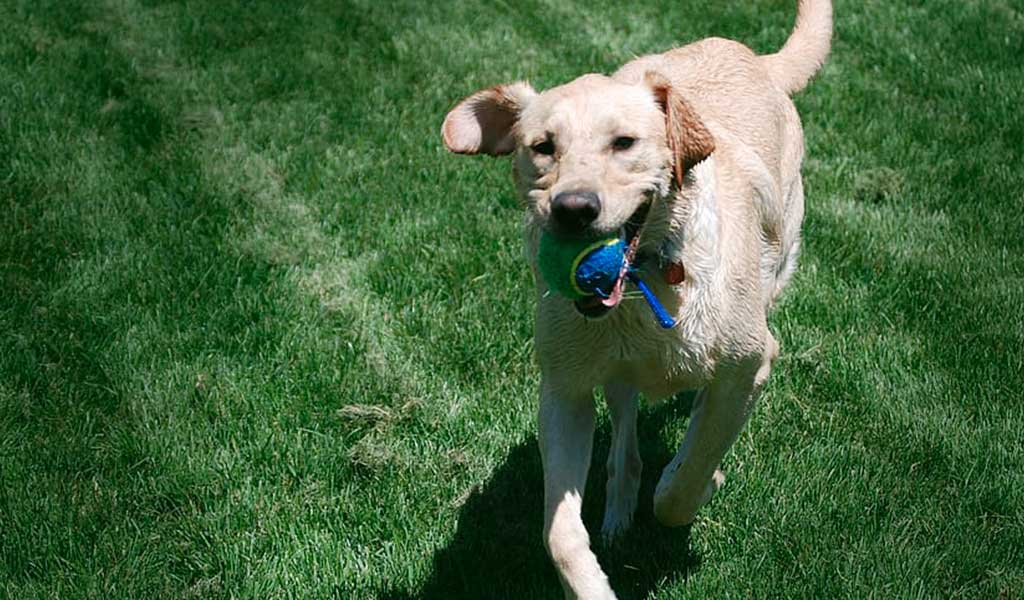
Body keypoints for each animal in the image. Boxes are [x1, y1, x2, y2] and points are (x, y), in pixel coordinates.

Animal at [440, 2, 831, 593]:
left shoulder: (750, 362)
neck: (645, 294)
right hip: (610, 374)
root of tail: (757, 60)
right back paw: (620, 509)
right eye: (543, 147)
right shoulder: (564, 391)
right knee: (624, 435)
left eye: (623, 143)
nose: (573, 208)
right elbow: (559, 533)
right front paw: (592, 582)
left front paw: (698, 481)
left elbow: (686, 478)